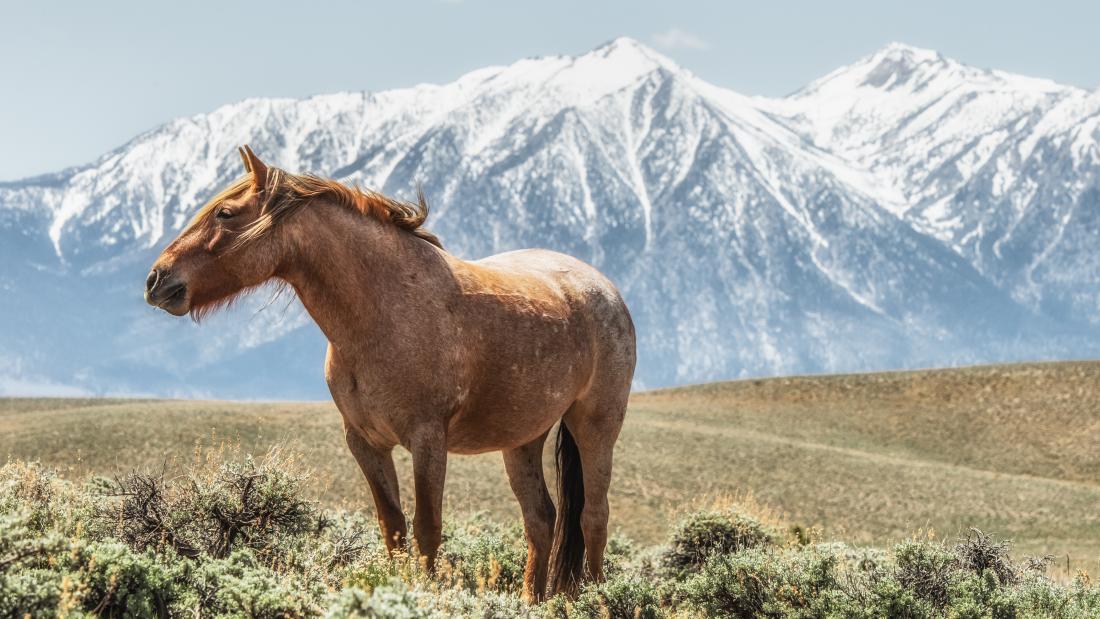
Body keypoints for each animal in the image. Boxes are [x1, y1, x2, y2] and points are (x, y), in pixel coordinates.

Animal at [144, 146, 636, 601]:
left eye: (225, 214)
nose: (156, 280)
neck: (383, 311)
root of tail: (603, 288)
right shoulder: (365, 442)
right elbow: (393, 527)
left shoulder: (427, 439)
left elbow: (427, 530)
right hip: (522, 439)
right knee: (541, 519)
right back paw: (534, 600)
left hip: (596, 427)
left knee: (593, 517)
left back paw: (598, 598)